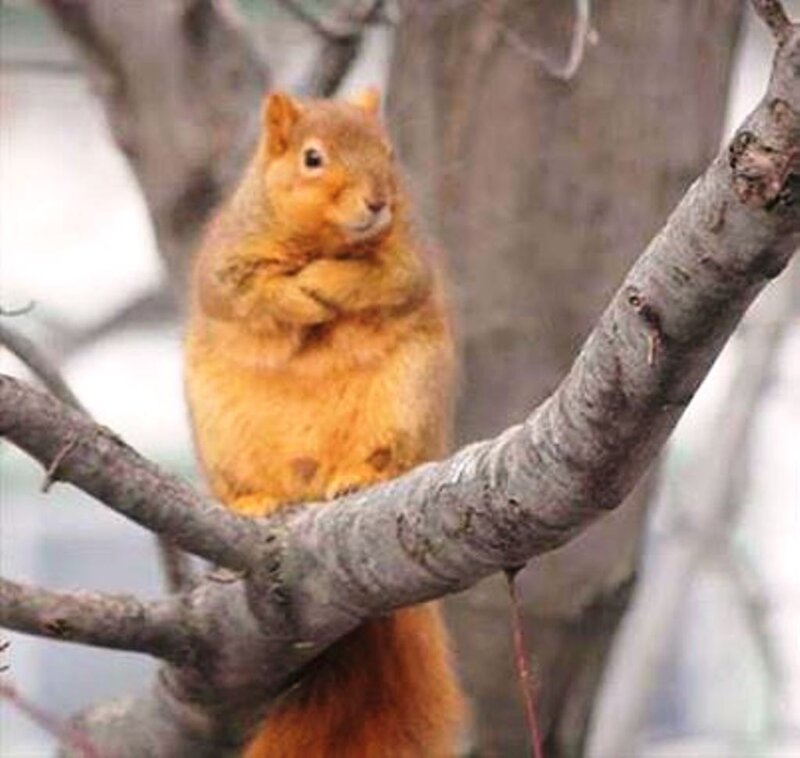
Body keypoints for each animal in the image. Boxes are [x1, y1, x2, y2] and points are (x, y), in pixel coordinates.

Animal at [184, 88, 465, 757]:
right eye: (312, 158)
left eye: (389, 152)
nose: (379, 202)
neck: (321, 241)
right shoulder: (225, 264)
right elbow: (249, 292)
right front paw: (296, 293)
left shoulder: (407, 259)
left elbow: (380, 277)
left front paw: (324, 282)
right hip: (223, 439)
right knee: (248, 486)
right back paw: (254, 501)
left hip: (405, 405)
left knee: (383, 455)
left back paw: (358, 476)